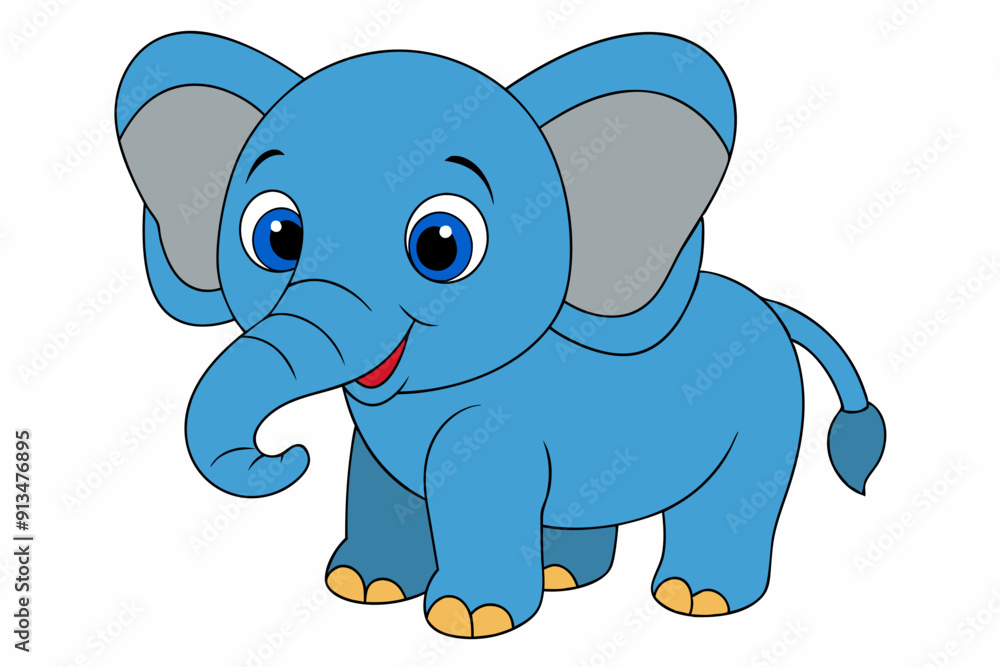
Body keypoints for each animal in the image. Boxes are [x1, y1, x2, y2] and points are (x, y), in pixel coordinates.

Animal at [116, 31, 886, 638]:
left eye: (441, 245)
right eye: (276, 236)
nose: (289, 453)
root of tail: (773, 308)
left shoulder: (494, 428)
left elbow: (475, 492)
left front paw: (467, 619)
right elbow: (380, 479)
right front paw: (365, 589)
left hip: (768, 414)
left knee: (734, 499)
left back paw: (699, 599)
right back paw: (565, 575)